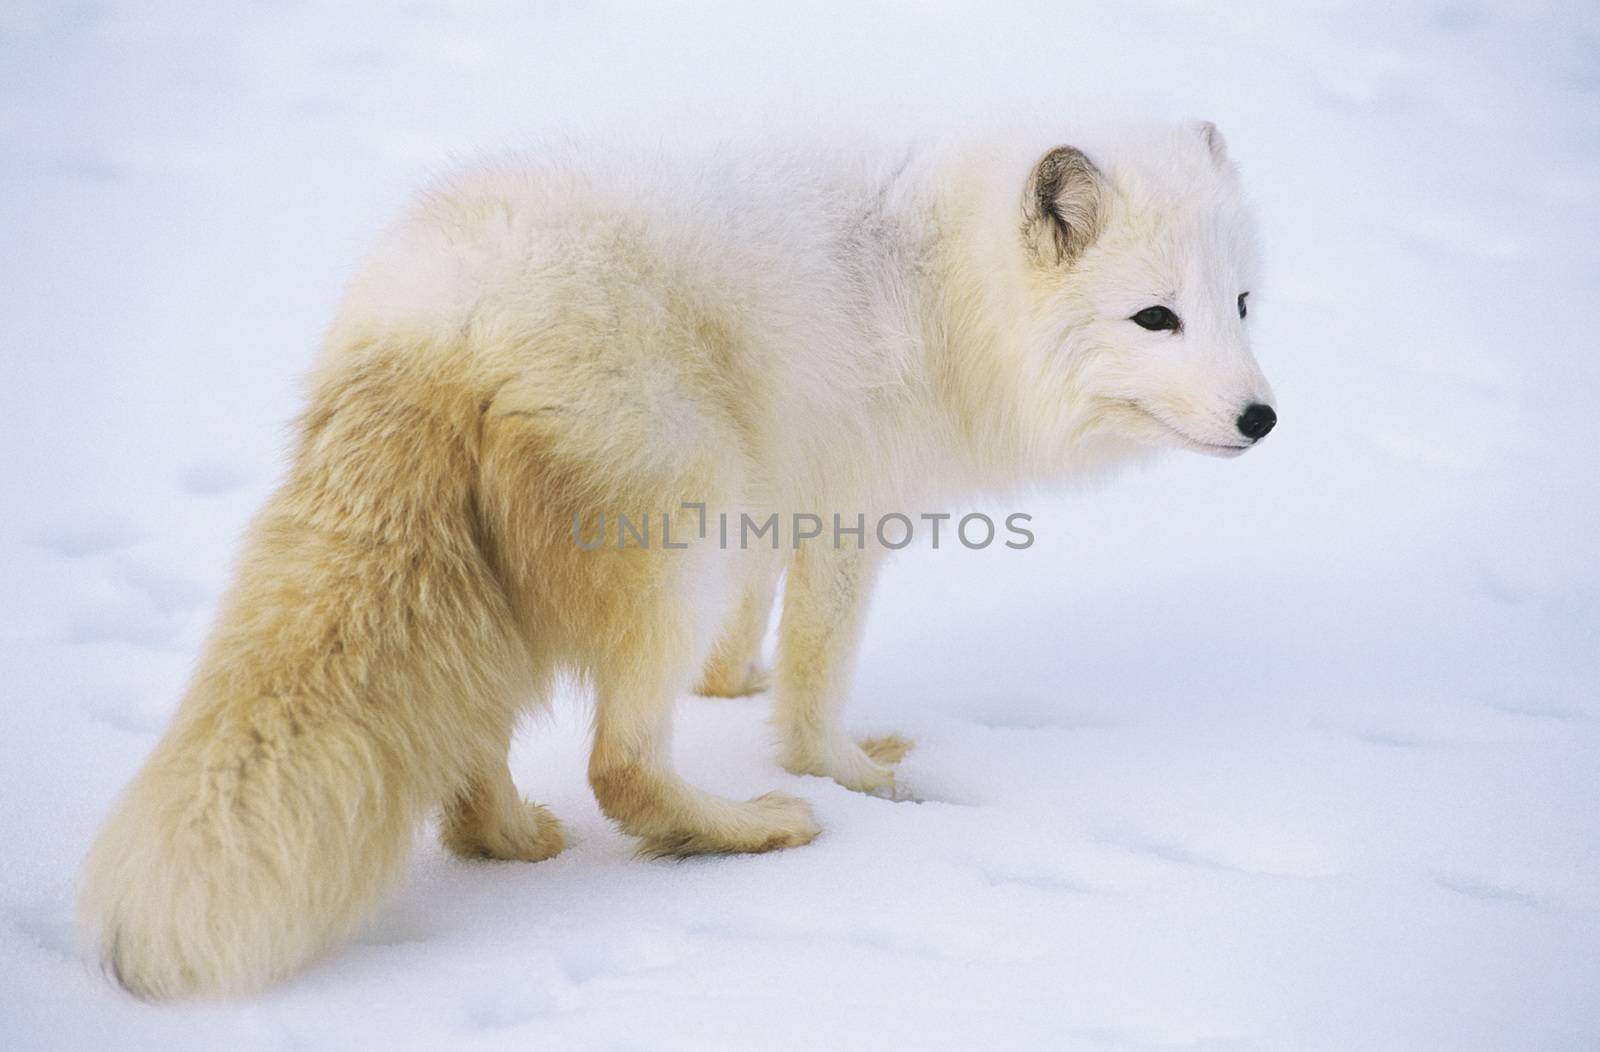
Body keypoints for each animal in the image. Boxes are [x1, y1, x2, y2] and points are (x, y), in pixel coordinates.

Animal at [81, 115, 1273, 991]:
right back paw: (752, 828)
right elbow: (814, 687)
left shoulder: (774, 489)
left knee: (473, 766)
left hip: (542, 570)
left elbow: (750, 628)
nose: (1262, 419)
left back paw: (516, 841)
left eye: (1244, 304)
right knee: (620, 765)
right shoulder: (845, 512)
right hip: (674, 533)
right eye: (1154, 318)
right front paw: (849, 776)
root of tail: (435, 318)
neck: (944, 286)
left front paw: (730, 686)